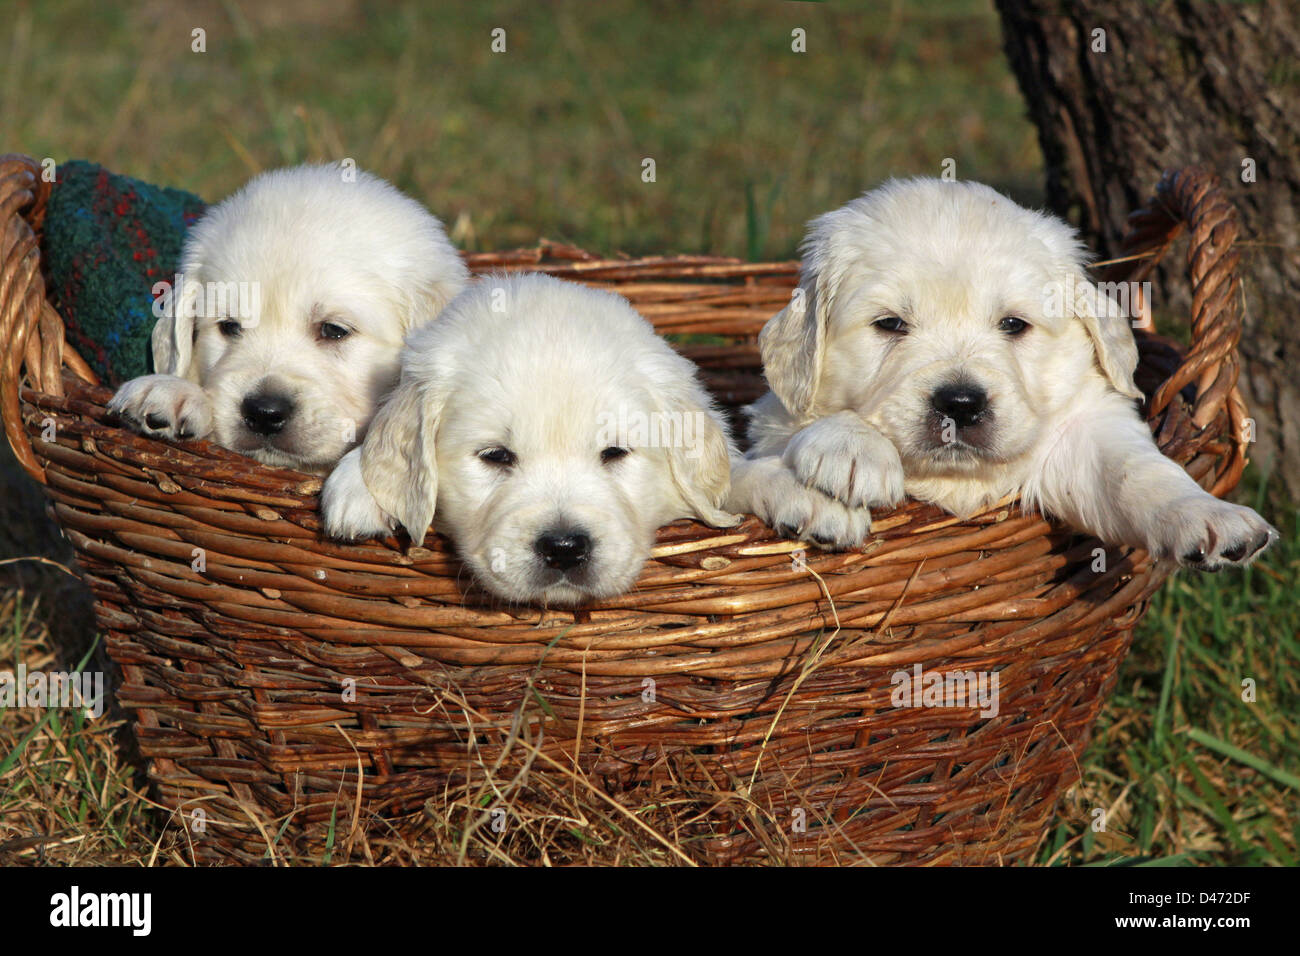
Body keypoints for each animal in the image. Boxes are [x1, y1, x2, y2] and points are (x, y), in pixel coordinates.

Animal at [733, 176, 1279, 572]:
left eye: (1013, 324)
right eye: (889, 324)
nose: (959, 404)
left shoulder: (1082, 429)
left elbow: (1137, 473)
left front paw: (1210, 517)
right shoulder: (772, 420)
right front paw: (851, 449)